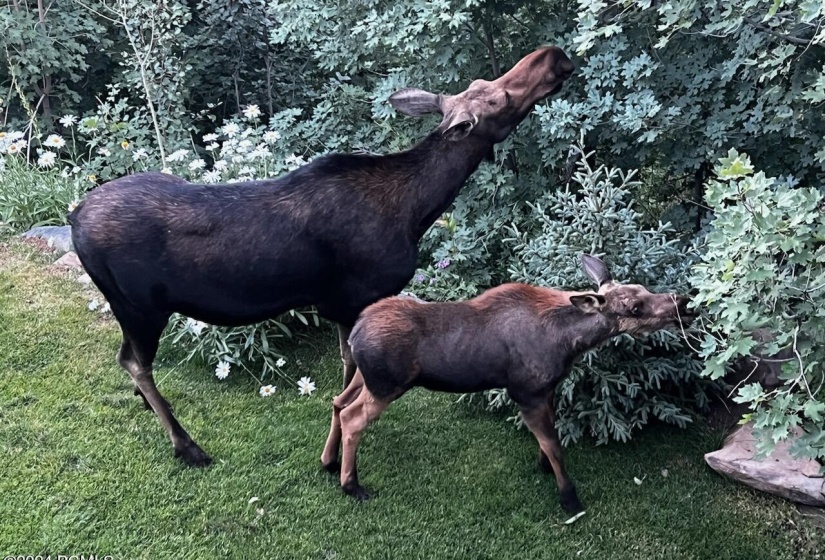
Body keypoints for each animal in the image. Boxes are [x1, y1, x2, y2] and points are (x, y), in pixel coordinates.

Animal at [71, 46, 572, 466]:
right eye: (502, 97)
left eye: (488, 83)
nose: (554, 57)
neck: (417, 210)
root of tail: (74, 218)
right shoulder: (357, 298)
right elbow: (351, 376)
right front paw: (334, 455)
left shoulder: (341, 306)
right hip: (139, 305)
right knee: (134, 362)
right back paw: (187, 444)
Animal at [322, 256, 696, 516]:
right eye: (635, 307)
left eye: (644, 288)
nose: (683, 303)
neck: (569, 343)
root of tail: (355, 332)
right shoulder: (526, 393)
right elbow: (554, 445)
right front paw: (569, 498)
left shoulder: (547, 390)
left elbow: (548, 442)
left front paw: (544, 469)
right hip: (387, 384)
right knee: (353, 418)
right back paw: (352, 485)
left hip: (365, 376)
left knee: (338, 401)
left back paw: (328, 462)